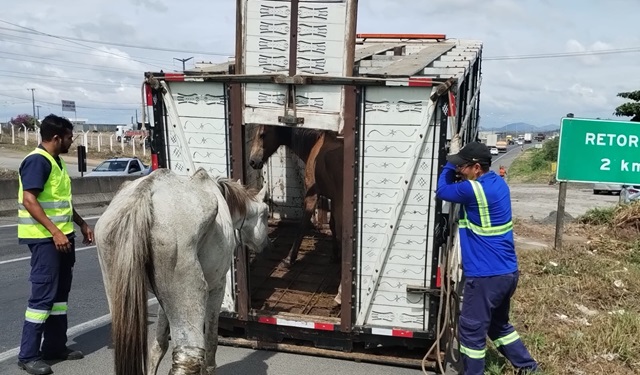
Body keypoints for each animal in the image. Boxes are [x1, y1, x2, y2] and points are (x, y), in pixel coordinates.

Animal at [96, 168, 272, 375]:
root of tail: (143, 194)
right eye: (266, 214)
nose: (266, 244)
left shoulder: (164, 299)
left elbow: (159, 345)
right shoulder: (217, 287)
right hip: (190, 289)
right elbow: (211, 342)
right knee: (190, 356)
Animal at [248, 126, 342, 268]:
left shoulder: (313, 196)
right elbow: (333, 225)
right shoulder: (333, 198)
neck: (315, 145)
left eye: (262, 135)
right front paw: (335, 255)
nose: (253, 162)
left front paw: (290, 258)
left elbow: (302, 226)